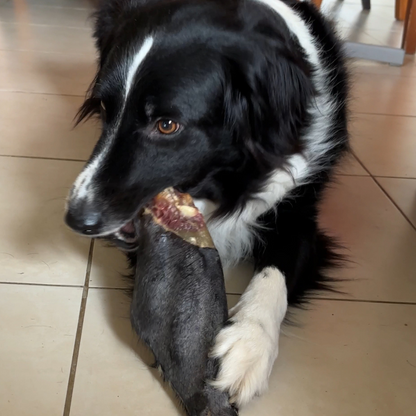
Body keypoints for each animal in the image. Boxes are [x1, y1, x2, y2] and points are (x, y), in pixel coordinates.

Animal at [65, 0, 348, 410]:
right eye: (104, 108)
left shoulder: (301, 214)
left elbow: (274, 273)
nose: (76, 218)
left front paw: (249, 344)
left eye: (167, 125)